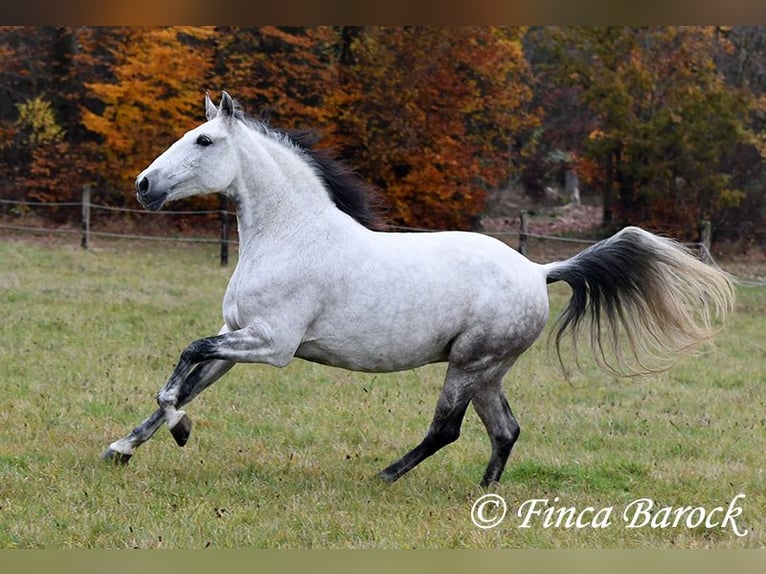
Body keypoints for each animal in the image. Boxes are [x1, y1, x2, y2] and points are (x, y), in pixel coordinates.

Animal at [102, 92, 736, 488]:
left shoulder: (271, 345)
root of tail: (539, 271)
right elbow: (185, 379)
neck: (291, 235)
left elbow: (182, 365)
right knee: (505, 430)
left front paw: (181, 432)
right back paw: (484, 496)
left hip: (469, 364)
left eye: (204, 141)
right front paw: (122, 449)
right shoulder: (237, 336)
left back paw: (382, 476)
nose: (144, 185)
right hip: (487, 371)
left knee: (446, 429)